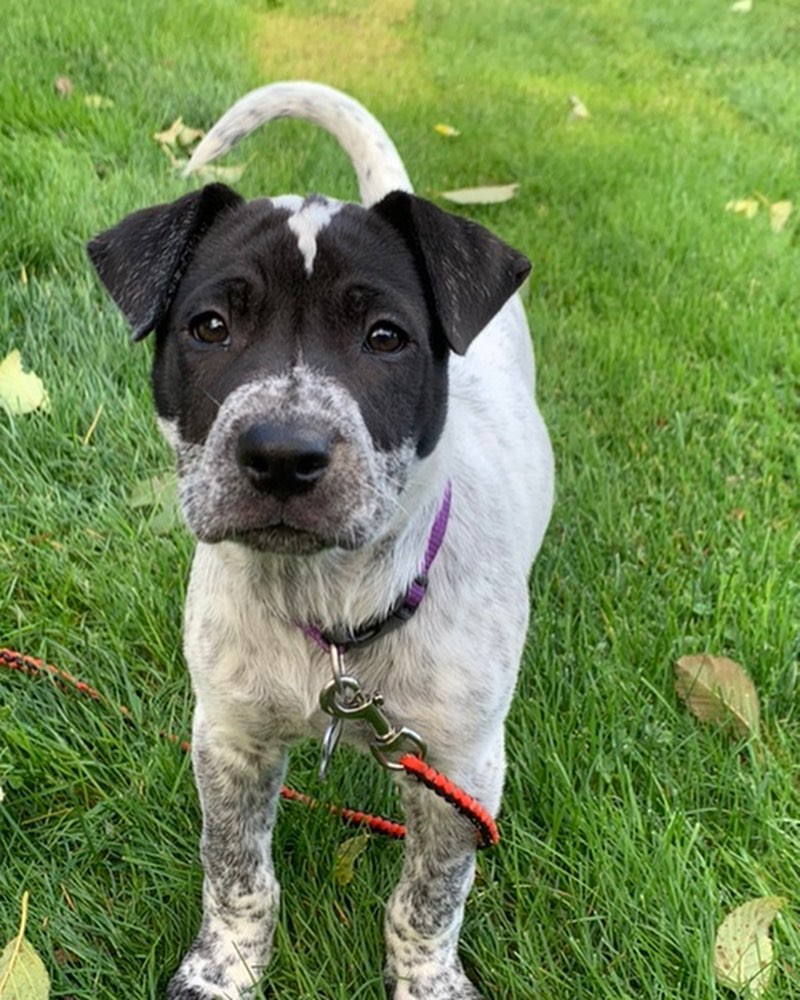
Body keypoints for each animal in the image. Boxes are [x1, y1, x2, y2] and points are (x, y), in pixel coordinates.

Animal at [86, 80, 552, 1000]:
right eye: (210, 326)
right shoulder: (228, 737)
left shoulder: (461, 771)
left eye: (385, 337)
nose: (281, 454)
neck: (334, 609)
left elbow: (429, 898)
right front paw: (225, 969)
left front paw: (427, 981)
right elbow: (236, 872)